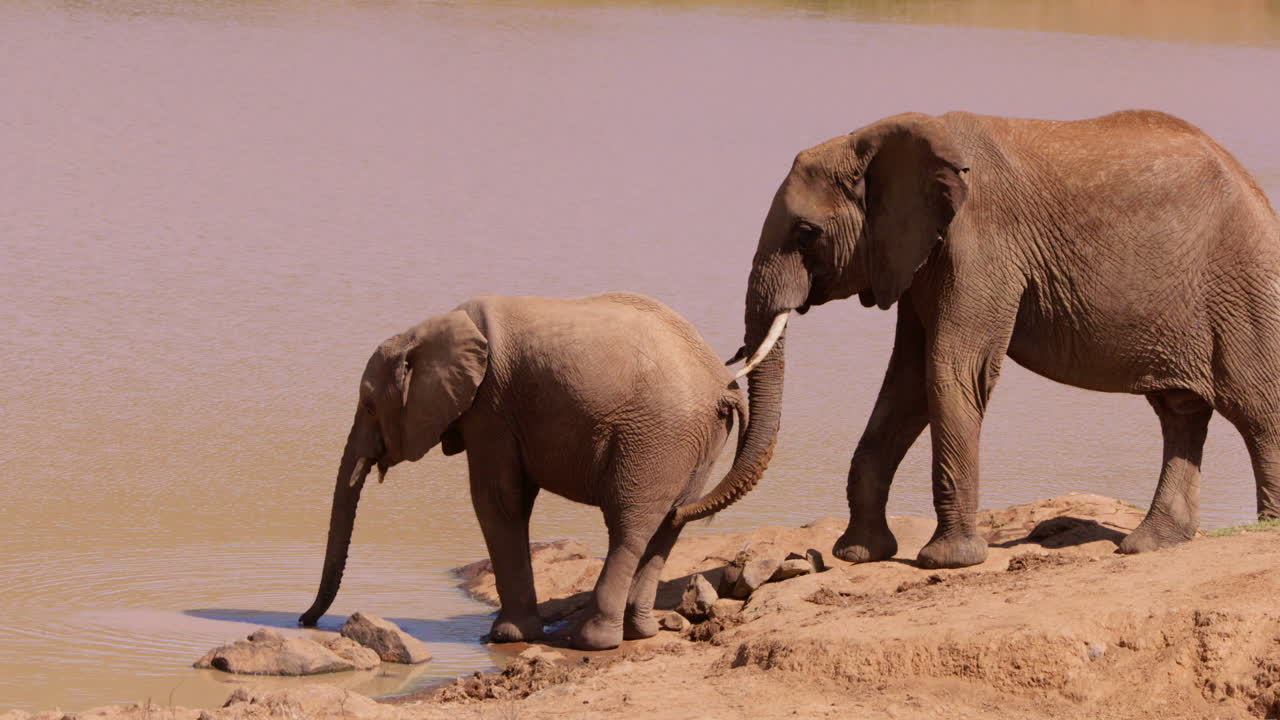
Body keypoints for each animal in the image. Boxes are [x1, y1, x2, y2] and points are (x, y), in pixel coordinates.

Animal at [298, 292, 759, 650]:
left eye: (369, 406)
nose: (306, 621)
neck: (431, 328)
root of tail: (721, 383)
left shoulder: (491, 406)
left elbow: (498, 500)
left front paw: (506, 637)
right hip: (693, 443)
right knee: (671, 522)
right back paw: (639, 633)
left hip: (656, 437)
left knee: (630, 526)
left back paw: (590, 640)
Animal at [726, 109, 1280, 570]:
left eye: (805, 233)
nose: (729, 396)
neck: (873, 142)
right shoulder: (921, 257)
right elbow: (908, 381)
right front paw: (859, 554)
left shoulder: (981, 244)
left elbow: (949, 369)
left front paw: (946, 562)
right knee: (1181, 412)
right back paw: (1150, 544)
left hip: (1244, 287)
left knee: (1258, 412)